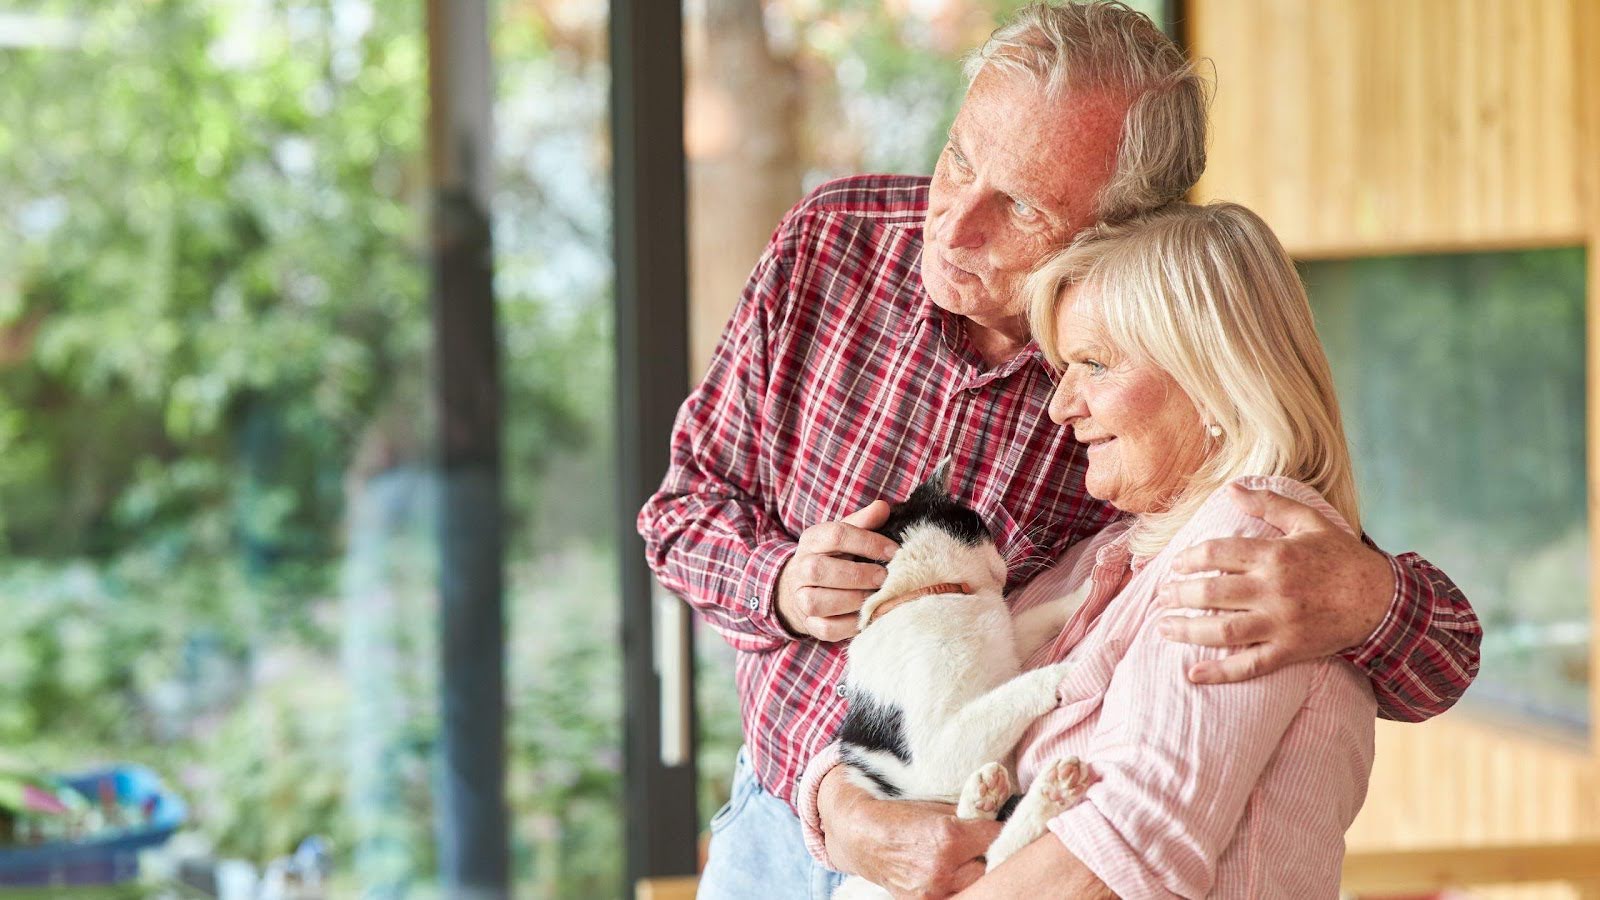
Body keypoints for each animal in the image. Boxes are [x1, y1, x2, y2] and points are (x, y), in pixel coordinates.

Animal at [832, 458, 1094, 890]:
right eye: (983, 527)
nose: (1005, 566)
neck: (929, 594)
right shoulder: (936, 753)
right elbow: (1005, 697)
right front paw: (1060, 672)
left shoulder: (1009, 648)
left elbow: (1031, 620)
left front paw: (1084, 592)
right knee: (993, 859)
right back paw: (1037, 789)